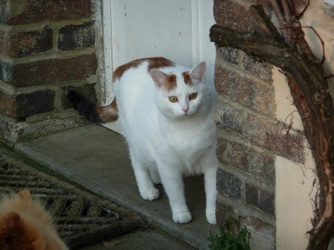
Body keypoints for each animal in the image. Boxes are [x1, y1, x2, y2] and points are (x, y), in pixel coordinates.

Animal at [68, 57, 219, 225]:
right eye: (173, 99)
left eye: (193, 96)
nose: (185, 109)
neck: (187, 129)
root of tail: (127, 65)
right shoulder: (169, 166)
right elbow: (175, 192)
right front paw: (181, 213)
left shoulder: (212, 162)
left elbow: (213, 190)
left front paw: (213, 214)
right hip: (135, 140)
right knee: (138, 163)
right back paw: (147, 188)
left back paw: (156, 177)